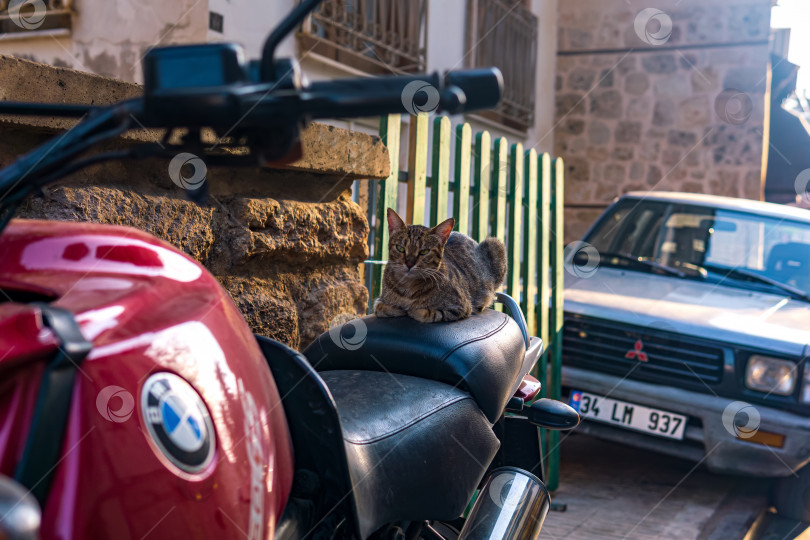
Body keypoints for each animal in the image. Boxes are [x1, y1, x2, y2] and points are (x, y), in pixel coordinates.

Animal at [374, 209, 504, 322]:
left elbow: (429, 313)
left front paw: (412, 310)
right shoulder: (379, 301)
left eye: (424, 251)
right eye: (400, 248)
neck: (408, 287)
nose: (409, 264)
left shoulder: (462, 307)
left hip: (495, 244)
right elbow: (380, 307)